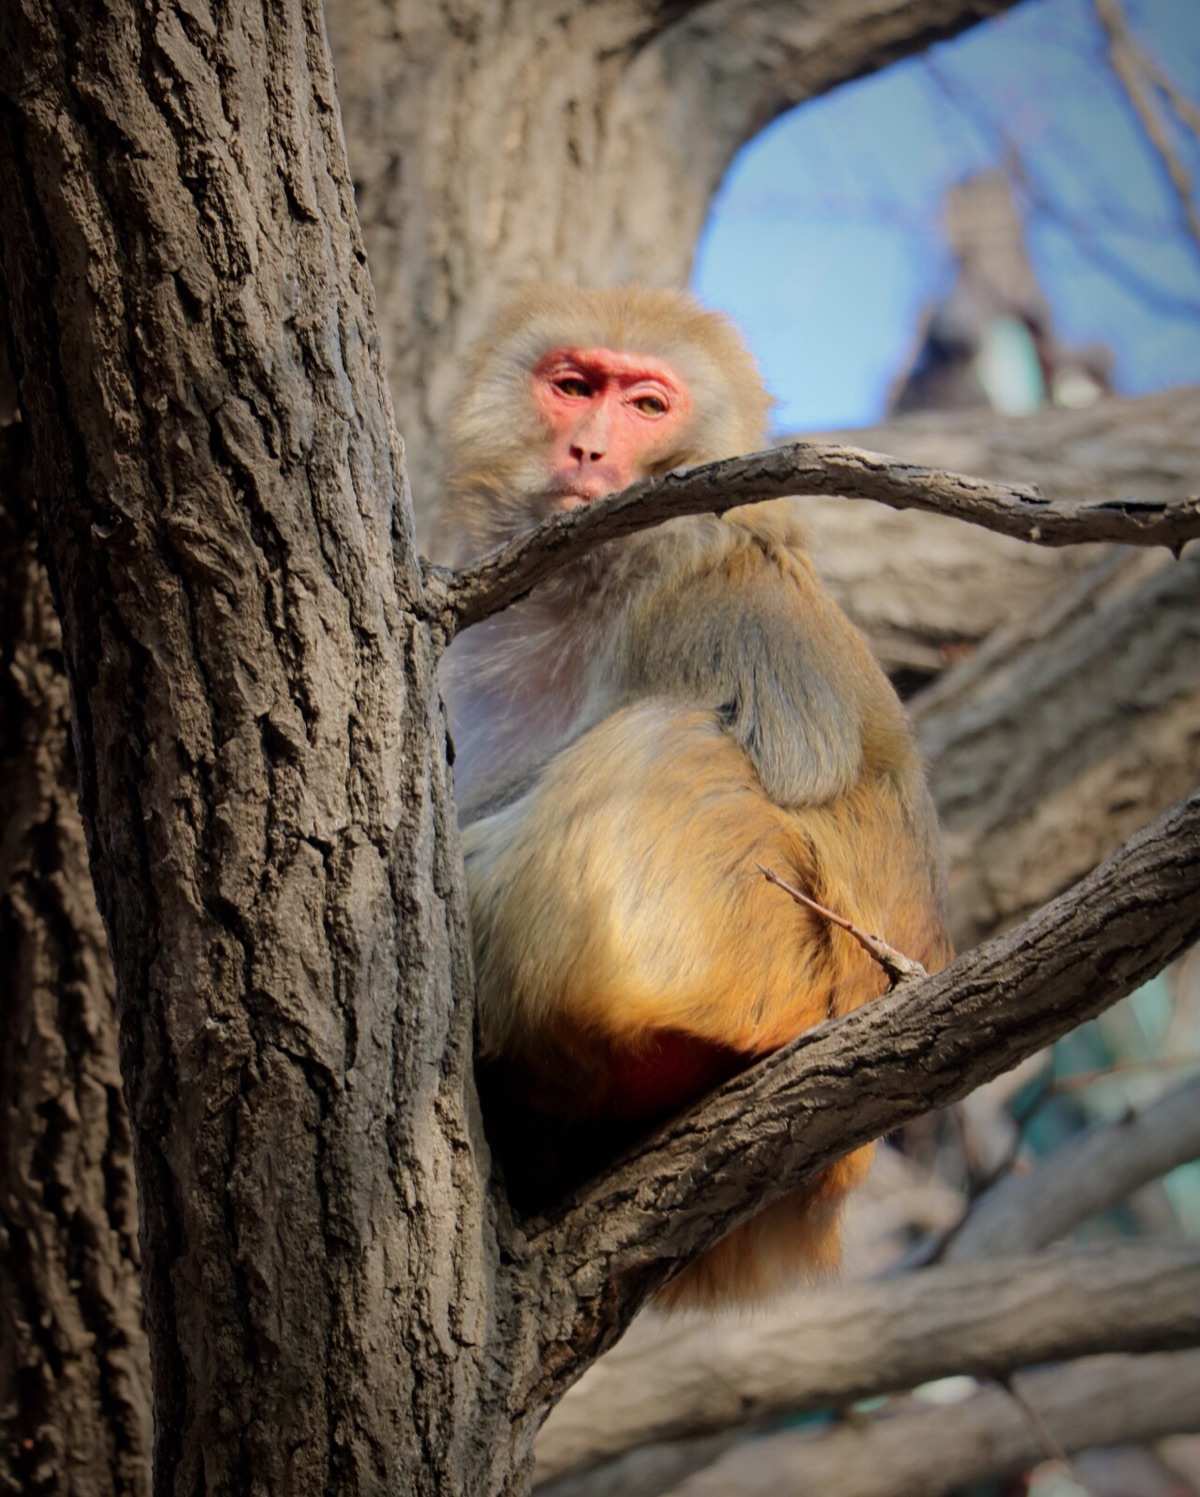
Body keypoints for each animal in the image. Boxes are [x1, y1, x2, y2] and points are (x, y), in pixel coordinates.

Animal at [433, 282, 951, 1311]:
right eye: (574, 386)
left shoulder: (716, 590)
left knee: (667, 746)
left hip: (763, 953)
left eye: (646, 405)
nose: (588, 452)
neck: (588, 584)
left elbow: (797, 758)